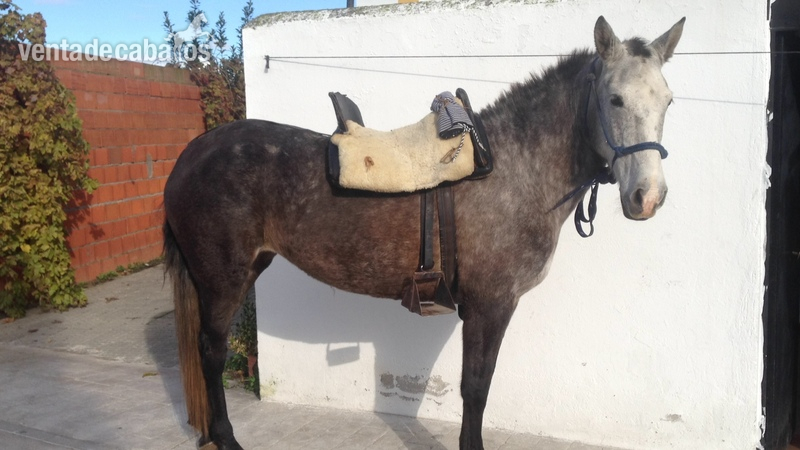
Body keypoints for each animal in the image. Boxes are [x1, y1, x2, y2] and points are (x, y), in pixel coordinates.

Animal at [163, 16, 685, 450]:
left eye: (668, 100)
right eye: (614, 99)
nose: (648, 198)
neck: (517, 165)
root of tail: (190, 156)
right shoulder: (491, 305)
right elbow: (476, 388)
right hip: (222, 280)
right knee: (211, 352)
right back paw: (226, 438)